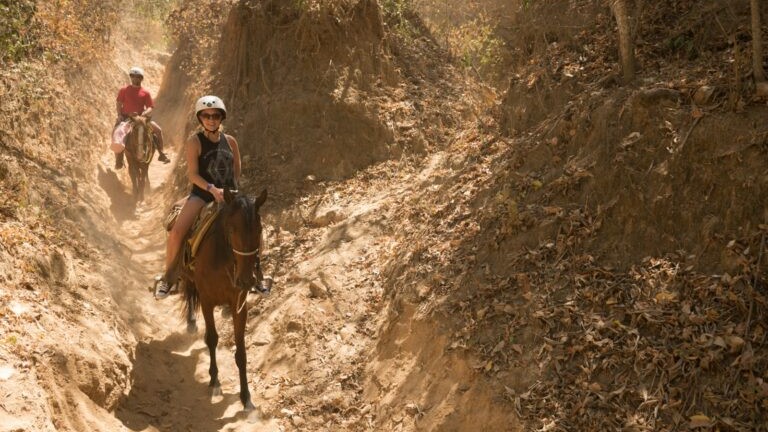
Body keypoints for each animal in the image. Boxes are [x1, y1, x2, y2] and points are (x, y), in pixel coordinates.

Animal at [173, 189, 268, 412]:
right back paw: (189, 320)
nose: (246, 279)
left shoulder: (239, 305)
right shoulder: (207, 301)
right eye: (232, 229)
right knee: (188, 291)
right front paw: (215, 381)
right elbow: (212, 338)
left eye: (259, 230)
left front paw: (246, 397)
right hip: (186, 273)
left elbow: (241, 353)